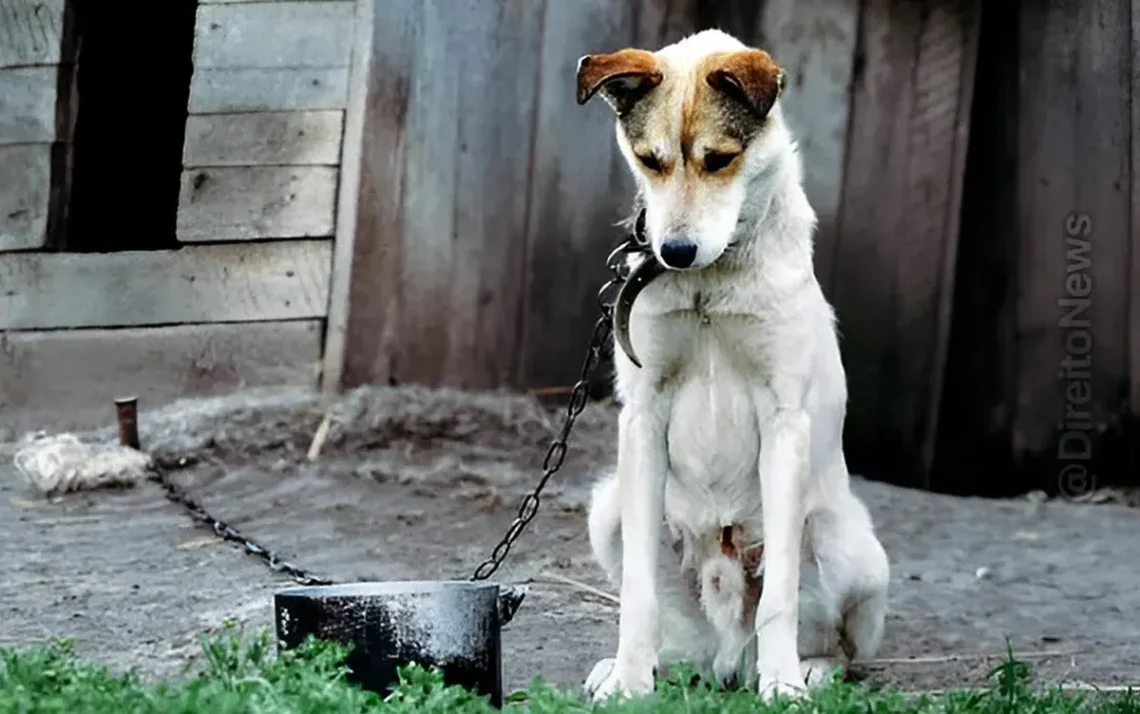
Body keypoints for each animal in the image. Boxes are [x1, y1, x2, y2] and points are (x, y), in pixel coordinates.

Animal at [579, 30, 889, 698]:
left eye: (720, 159)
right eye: (649, 160)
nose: (674, 251)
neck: (709, 282)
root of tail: (728, 656)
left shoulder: (784, 422)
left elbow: (780, 596)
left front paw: (783, 688)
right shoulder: (642, 418)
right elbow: (638, 592)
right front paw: (628, 682)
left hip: (845, 543)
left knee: (839, 646)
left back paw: (805, 670)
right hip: (609, 509)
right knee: (681, 639)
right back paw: (647, 666)